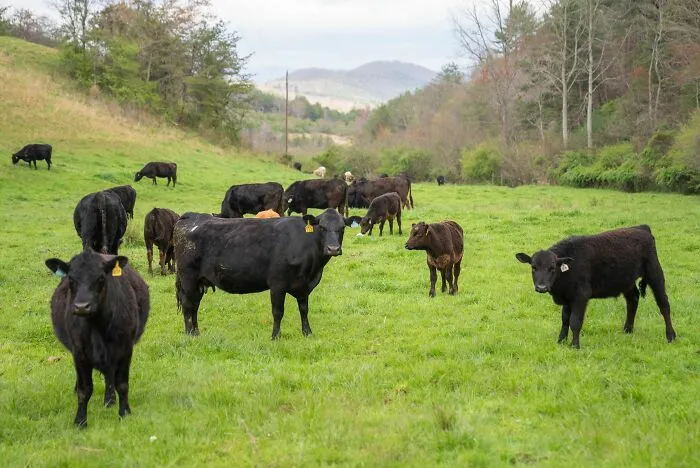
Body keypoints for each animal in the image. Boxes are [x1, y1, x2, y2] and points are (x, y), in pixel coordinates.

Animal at [45, 250, 149, 427]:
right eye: (71, 278)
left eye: (101, 278)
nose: (81, 306)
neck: (97, 327)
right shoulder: (79, 352)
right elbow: (84, 389)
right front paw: (80, 421)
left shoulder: (125, 349)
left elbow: (122, 385)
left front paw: (124, 413)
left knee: (110, 377)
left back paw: (110, 400)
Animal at [173, 209, 345, 339]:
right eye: (322, 227)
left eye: (342, 228)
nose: (333, 249)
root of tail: (193, 215)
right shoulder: (277, 284)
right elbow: (278, 312)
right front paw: (275, 336)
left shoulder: (304, 286)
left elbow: (304, 309)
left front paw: (307, 333)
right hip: (188, 278)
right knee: (188, 304)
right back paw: (189, 334)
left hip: (199, 281)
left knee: (195, 305)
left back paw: (196, 333)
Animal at [515, 225, 676, 349]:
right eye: (533, 267)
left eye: (552, 268)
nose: (541, 287)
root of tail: (642, 228)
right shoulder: (568, 297)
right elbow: (565, 319)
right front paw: (561, 341)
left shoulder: (581, 295)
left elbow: (575, 321)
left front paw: (575, 346)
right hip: (626, 281)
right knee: (633, 300)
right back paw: (627, 330)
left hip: (654, 272)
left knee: (664, 304)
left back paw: (671, 336)